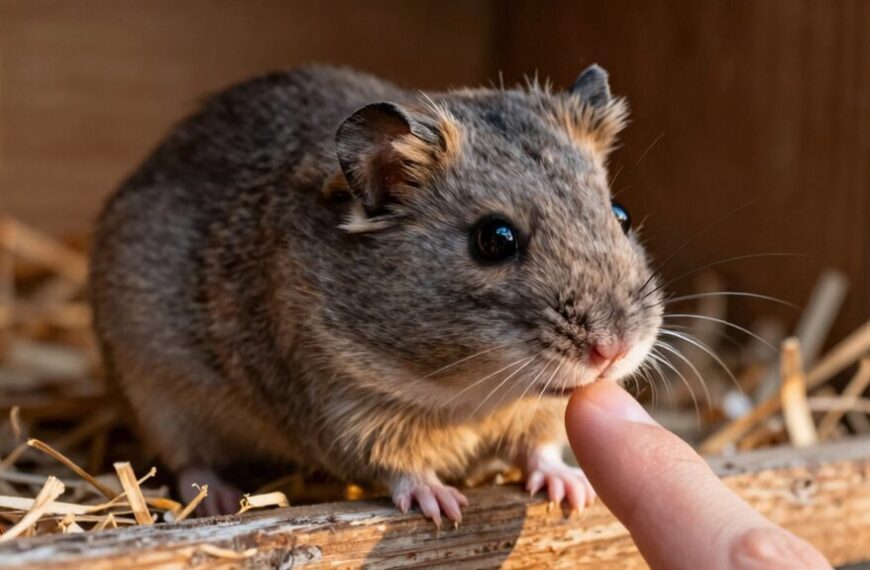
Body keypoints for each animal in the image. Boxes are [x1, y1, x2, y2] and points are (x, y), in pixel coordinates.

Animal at [89, 64, 663, 523]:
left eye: (621, 214)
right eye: (494, 239)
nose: (613, 350)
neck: (474, 394)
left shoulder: (535, 415)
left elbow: (540, 448)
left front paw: (575, 491)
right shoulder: (345, 409)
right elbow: (398, 466)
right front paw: (444, 507)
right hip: (156, 392)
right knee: (191, 461)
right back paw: (220, 501)